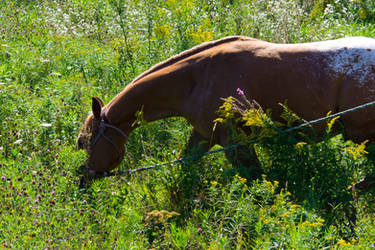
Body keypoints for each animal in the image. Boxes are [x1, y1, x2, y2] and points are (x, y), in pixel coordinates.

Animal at [77, 35, 375, 180]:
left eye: (84, 141)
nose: (83, 179)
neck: (198, 79)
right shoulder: (203, 136)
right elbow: (183, 165)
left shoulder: (235, 141)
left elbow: (256, 178)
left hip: (363, 137)